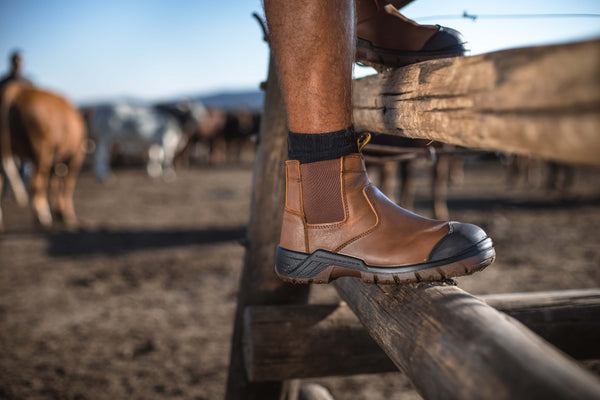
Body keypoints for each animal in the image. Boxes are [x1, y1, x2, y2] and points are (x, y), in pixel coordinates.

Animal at [0, 81, 86, 230]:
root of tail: (16, 89)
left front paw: (59, 211)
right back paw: (42, 217)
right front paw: (68, 215)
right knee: (36, 183)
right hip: (42, 149)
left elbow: (54, 184)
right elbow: (68, 185)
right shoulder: (75, 157)